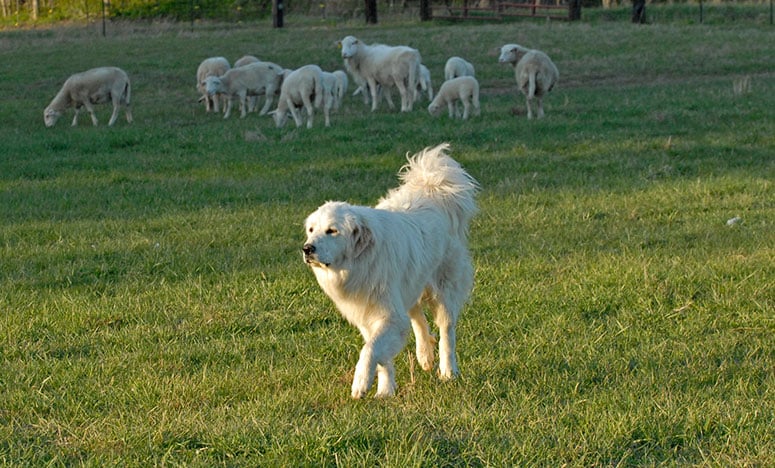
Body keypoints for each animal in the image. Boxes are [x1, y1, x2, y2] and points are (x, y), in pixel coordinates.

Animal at [304, 144, 478, 398]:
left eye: (332, 231)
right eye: (311, 230)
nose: (307, 248)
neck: (361, 261)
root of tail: (432, 187)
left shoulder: (388, 314)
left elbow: (370, 350)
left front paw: (360, 383)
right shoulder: (370, 316)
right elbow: (380, 354)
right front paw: (385, 390)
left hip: (444, 287)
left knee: (447, 331)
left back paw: (448, 371)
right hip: (411, 283)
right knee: (417, 318)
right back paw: (425, 355)